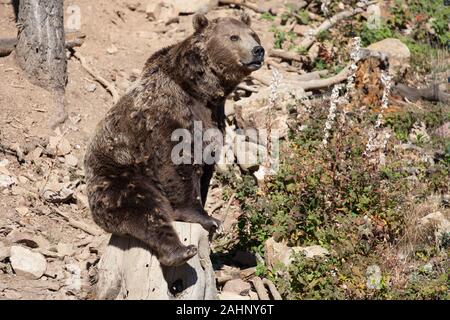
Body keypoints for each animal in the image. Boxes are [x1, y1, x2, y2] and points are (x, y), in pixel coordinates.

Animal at [84, 12, 264, 266]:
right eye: (233, 36)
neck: (202, 91)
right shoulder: (167, 113)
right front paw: (206, 217)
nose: (258, 50)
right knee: (143, 208)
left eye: (253, 34)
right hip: (118, 176)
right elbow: (176, 163)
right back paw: (179, 251)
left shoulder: (214, 119)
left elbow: (205, 167)